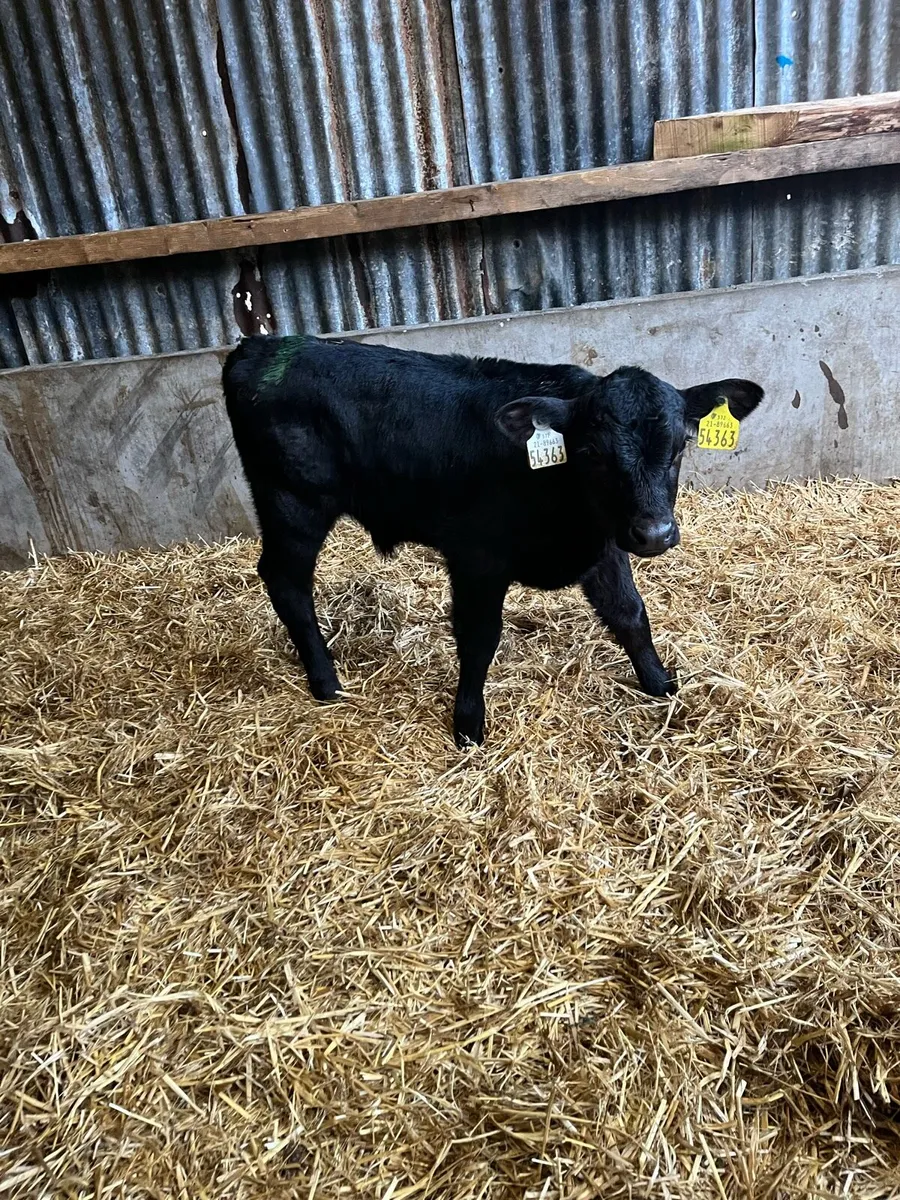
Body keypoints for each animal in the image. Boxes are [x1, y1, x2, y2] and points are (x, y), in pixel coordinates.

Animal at [223, 335, 763, 747]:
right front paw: (468, 725)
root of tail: (260, 346)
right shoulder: (476, 559)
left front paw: (660, 684)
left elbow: (630, 616)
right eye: (591, 451)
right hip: (293, 502)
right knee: (287, 583)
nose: (653, 533)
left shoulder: (606, 546)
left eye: (680, 447)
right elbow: (479, 639)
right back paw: (326, 681)